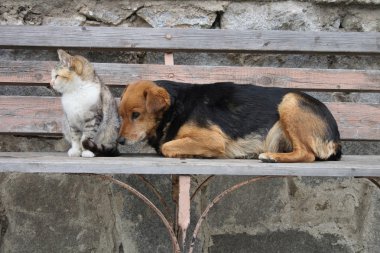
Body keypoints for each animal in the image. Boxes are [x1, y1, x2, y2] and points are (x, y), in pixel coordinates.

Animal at [116, 80, 342, 163]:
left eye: (135, 115)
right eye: (121, 115)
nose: (119, 141)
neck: (175, 106)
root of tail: (336, 139)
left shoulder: (213, 139)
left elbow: (168, 146)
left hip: (290, 101)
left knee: (307, 154)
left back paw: (272, 156)